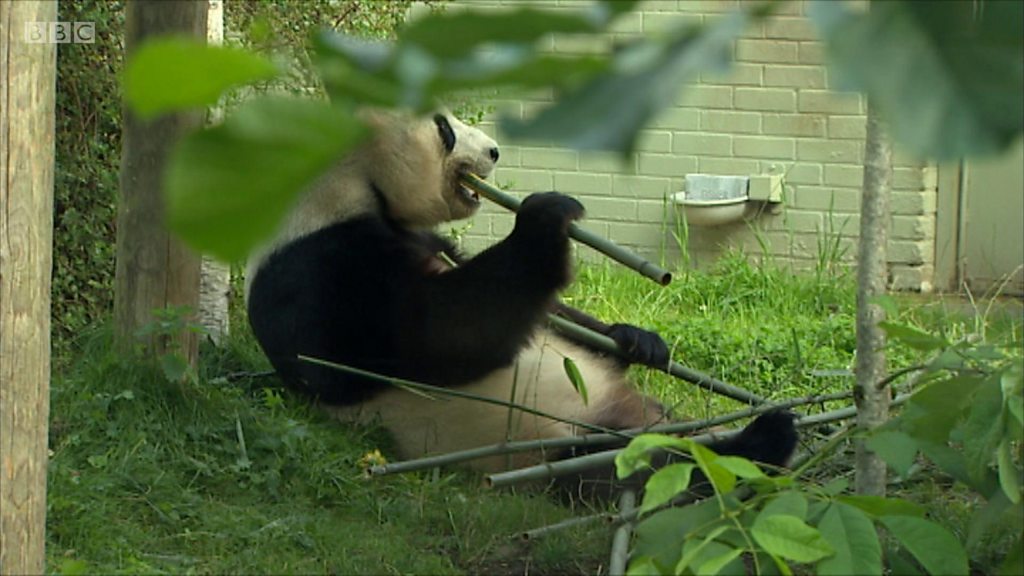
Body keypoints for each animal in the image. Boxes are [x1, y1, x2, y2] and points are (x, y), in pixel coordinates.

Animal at [243, 108, 794, 494]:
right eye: (443, 128)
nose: (494, 151)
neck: (348, 183)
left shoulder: (422, 238)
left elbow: (542, 312)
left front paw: (637, 340)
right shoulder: (317, 264)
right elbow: (440, 333)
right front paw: (546, 217)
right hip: (548, 440)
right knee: (646, 465)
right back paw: (763, 441)